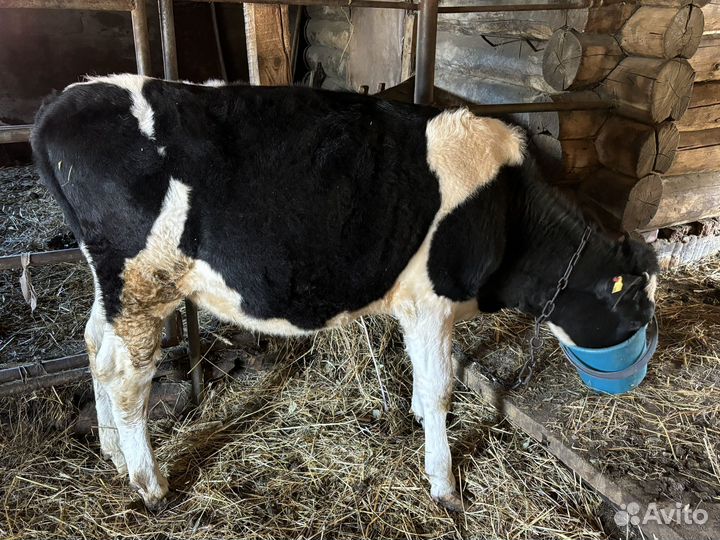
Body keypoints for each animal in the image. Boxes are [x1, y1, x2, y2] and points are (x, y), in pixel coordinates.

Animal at [31, 74, 658, 511]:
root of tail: (63, 102)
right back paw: (149, 483)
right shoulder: (432, 300)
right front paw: (444, 482)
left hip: (113, 283)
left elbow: (423, 376)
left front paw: (413, 419)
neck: (508, 211)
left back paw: (113, 453)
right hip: (144, 281)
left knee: (94, 346)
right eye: (636, 311)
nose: (636, 376)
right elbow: (440, 388)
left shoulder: (413, 303)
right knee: (125, 375)